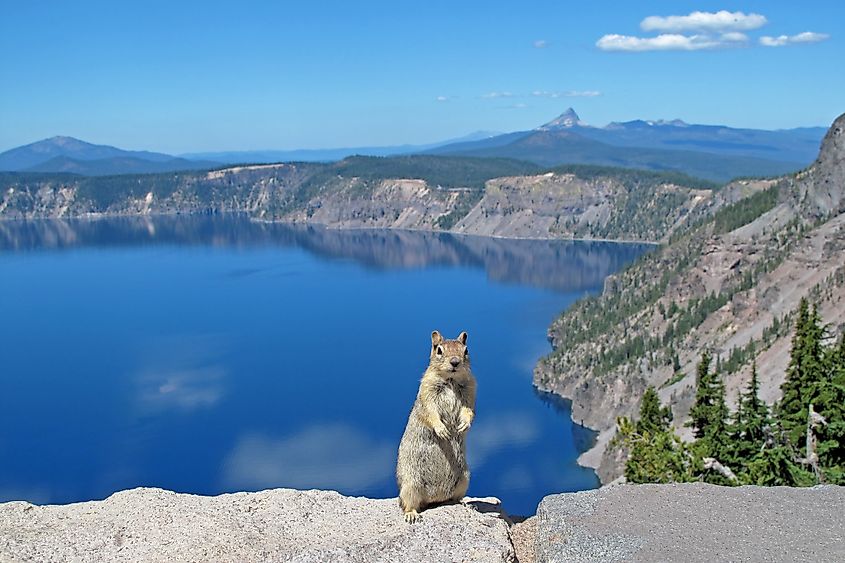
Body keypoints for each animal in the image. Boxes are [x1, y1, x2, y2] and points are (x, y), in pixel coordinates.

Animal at [396, 330, 477, 523]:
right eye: (439, 350)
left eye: (466, 350)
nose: (455, 362)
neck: (451, 380)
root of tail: (433, 498)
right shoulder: (427, 390)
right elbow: (431, 412)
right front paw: (442, 430)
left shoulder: (470, 390)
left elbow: (469, 410)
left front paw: (464, 424)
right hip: (411, 485)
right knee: (408, 503)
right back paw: (411, 515)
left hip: (465, 479)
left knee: (453, 498)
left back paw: (465, 503)